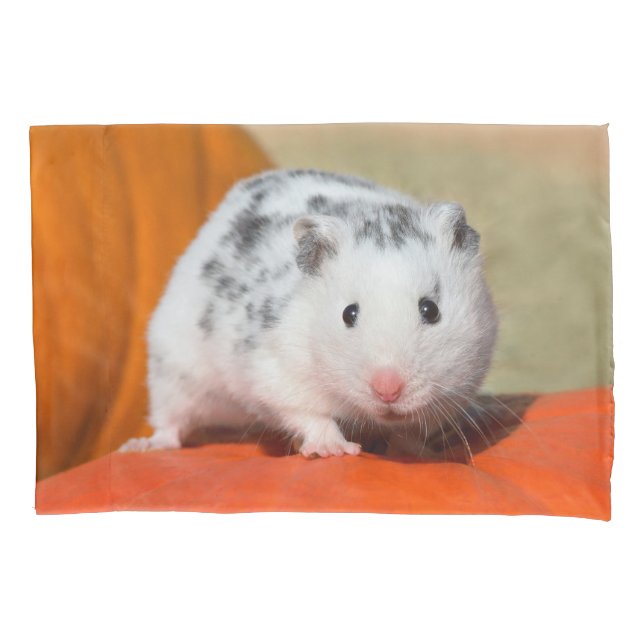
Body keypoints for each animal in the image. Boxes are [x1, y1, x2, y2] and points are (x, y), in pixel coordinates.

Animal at [119, 169, 498, 458]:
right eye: (348, 314)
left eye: (430, 310)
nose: (387, 391)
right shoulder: (276, 372)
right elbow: (309, 414)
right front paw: (335, 450)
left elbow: (413, 431)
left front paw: (417, 450)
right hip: (173, 370)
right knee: (169, 421)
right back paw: (141, 447)